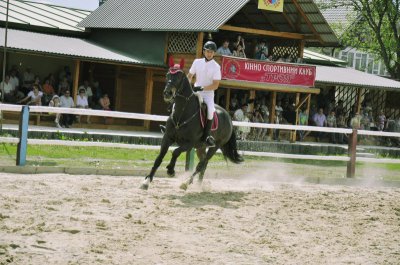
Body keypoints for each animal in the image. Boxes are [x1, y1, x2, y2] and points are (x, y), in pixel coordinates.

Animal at [139, 62, 242, 190]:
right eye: (167, 75)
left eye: (179, 77)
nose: (167, 93)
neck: (182, 114)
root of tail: (228, 117)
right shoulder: (167, 138)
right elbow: (159, 158)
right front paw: (147, 181)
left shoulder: (189, 144)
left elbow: (175, 152)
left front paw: (171, 170)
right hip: (200, 147)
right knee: (203, 163)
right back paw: (198, 184)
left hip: (215, 146)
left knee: (202, 164)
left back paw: (186, 183)